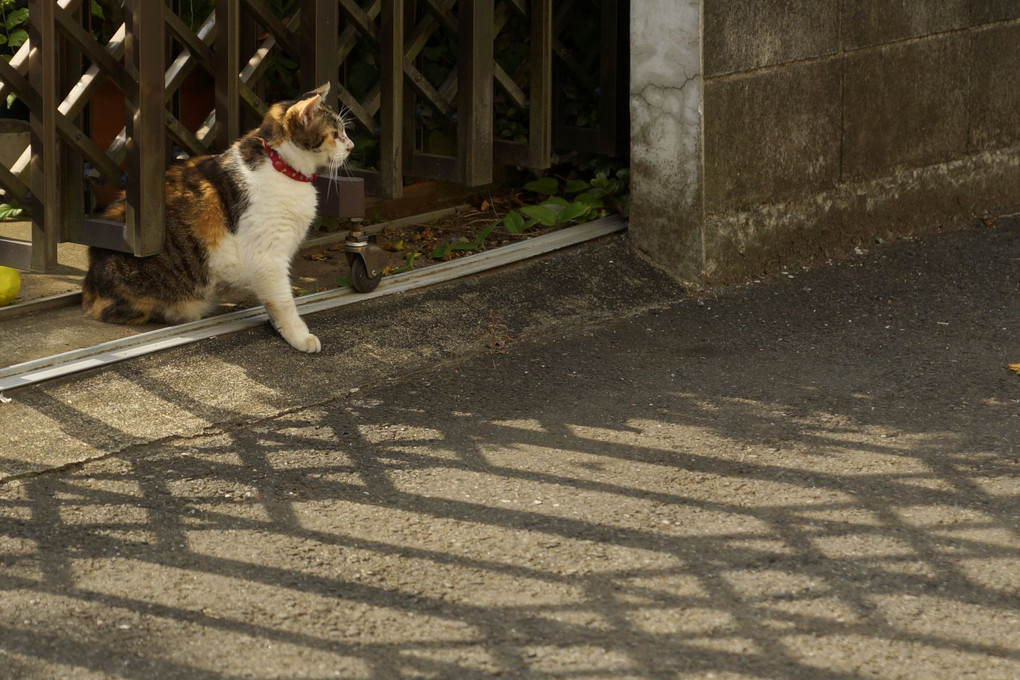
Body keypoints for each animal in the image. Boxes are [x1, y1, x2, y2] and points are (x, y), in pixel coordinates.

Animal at [80, 82, 350, 354]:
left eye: (344, 131)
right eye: (335, 134)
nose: (351, 146)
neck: (282, 166)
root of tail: (89, 285)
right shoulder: (268, 258)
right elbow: (283, 302)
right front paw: (299, 336)